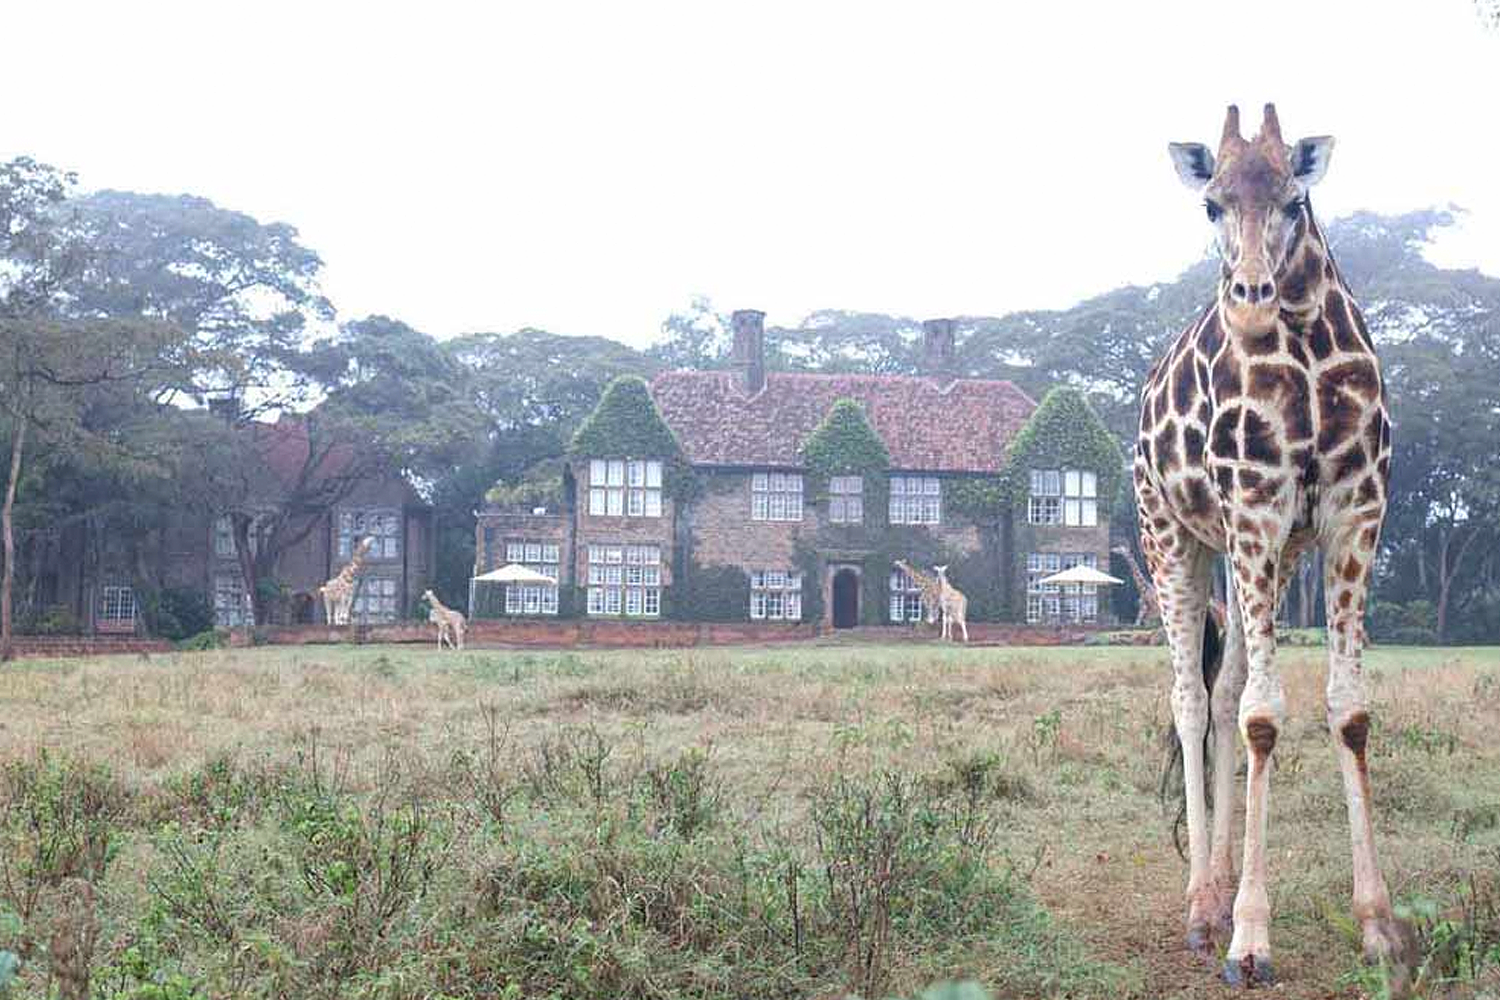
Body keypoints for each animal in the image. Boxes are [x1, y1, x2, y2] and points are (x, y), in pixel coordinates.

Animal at [1138, 104, 1407, 985]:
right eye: (1210, 205)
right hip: (1171, 535)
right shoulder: (1256, 506)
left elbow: (1347, 712)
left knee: (1222, 693)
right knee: (1190, 699)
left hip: (1265, 552)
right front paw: (1249, 940)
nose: (1251, 300)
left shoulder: (1354, 515)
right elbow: (1263, 715)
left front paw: (1379, 925)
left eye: (1294, 199)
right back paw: (1200, 907)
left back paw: (1219, 887)